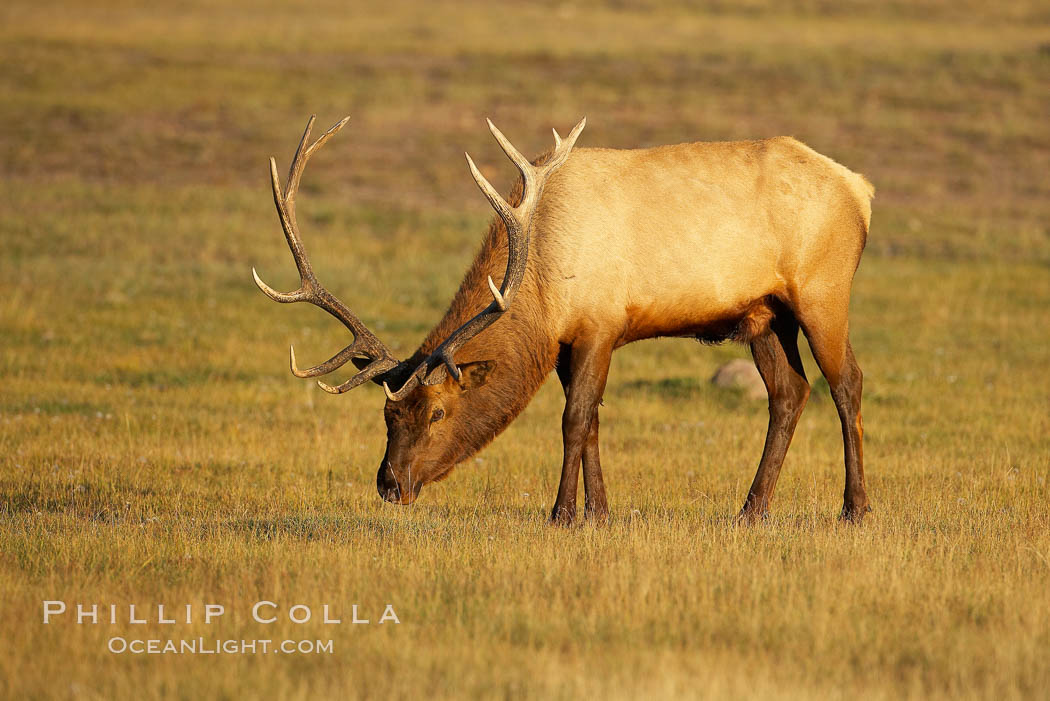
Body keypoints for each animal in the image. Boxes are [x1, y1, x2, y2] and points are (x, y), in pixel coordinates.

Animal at [256, 114, 877, 522]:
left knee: (846, 382)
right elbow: (593, 419)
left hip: (823, 291)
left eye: (436, 412)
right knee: (789, 392)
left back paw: (855, 508)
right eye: (387, 416)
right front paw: (598, 512)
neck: (543, 285)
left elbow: (574, 419)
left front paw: (561, 513)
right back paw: (751, 510)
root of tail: (862, 190)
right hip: (764, 314)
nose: (390, 484)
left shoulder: (601, 324)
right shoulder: (566, 344)